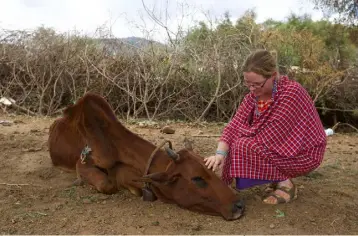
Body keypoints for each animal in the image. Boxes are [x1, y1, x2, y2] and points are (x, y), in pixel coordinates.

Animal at [47, 92, 245, 221]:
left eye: (212, 172)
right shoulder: (82, 163)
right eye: (197, 179)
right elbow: (107, 183)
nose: (239, 205)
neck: (113, 143)